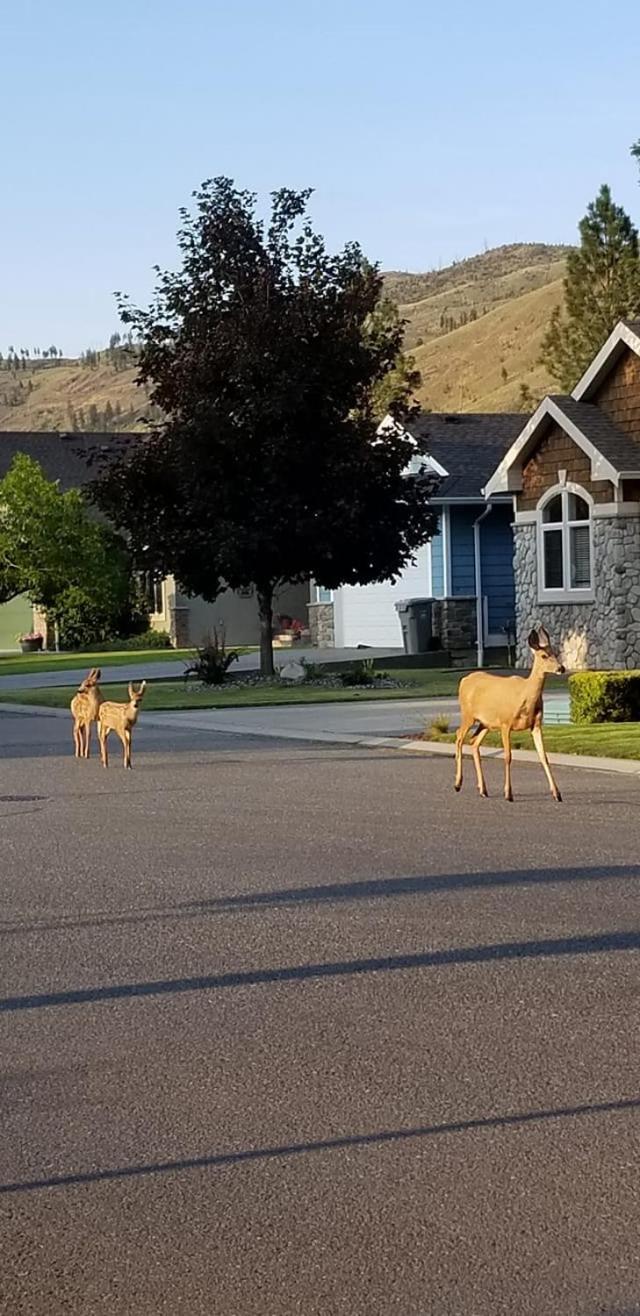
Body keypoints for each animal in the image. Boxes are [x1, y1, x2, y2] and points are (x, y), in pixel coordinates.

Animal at [455, 626, 566, 800]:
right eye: (544, 655)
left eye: (555, 653)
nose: (561, 668)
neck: (526, 695)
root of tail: (463, 680)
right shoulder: (505, 723)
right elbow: (507, 757)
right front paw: (508, 793)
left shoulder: (536, 725)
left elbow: (544, 757)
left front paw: (557, 793)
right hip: (468, 715)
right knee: (459, 737)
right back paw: (458, 784)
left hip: (485, 723)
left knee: (473, 741)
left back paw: (483, 789)